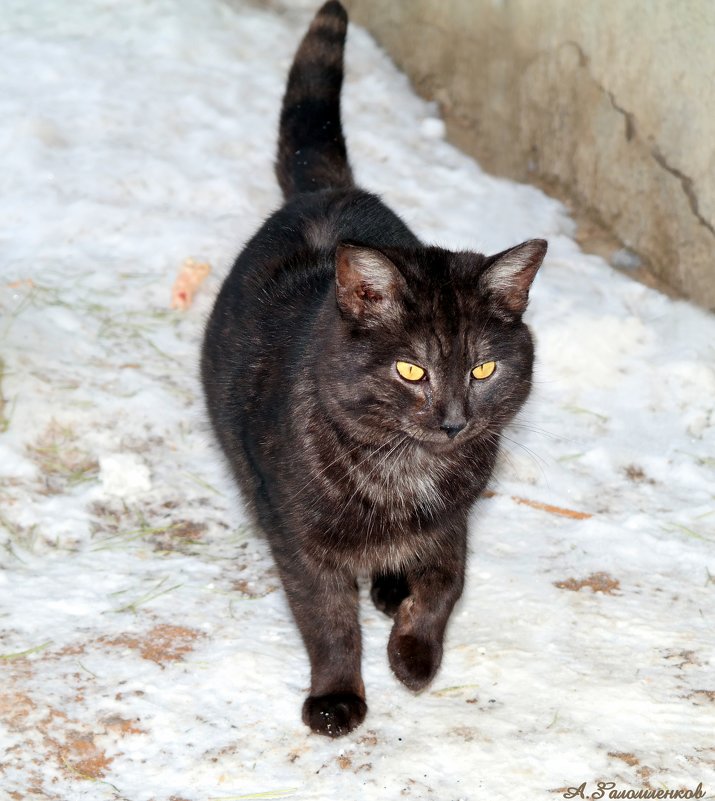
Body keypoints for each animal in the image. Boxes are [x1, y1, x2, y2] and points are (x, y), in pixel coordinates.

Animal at [201, 0, 548, 736]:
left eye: (482, 370)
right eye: (411, 371)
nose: (453, 422)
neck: (405, 473)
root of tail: (333, 191)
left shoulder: (455, 516)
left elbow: (447, 581)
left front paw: (414, 654)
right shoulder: (301, 543)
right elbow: (329, 623)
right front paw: (338, 698)